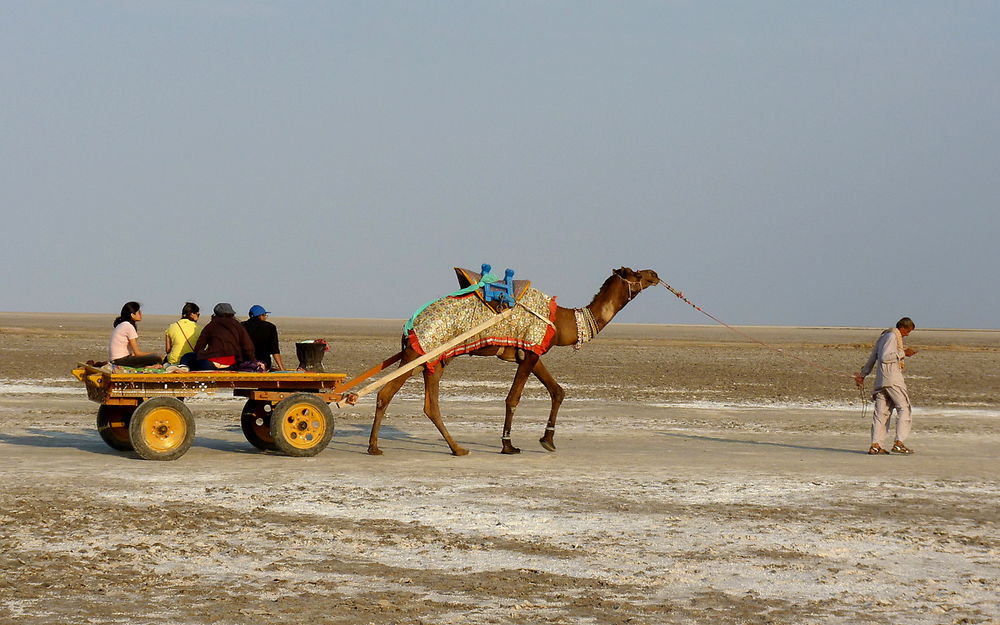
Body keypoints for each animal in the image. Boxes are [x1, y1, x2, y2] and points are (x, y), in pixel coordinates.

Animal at [364, 266, 660, 456]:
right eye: (636, 274)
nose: (655, 275)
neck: (563, 320)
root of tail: (409, 325)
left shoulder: (532, 352)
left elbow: (558, 391)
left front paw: (548, 440)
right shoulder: (531, 350)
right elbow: (513, 398)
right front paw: (508, 445)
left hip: (433, 360)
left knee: (429, 405)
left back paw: (456, 448)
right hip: (418, 353)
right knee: (386, 392)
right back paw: (375, 447)